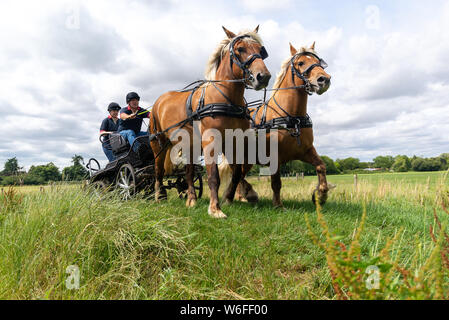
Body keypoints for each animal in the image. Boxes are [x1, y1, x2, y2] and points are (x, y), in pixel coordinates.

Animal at [150, 26, 270, 219]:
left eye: (261, 50)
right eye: (240, 49)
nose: (263, 76)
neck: (226, 99)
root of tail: (159, 101)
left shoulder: (234, 141)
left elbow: (236, 173)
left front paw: (228, 199)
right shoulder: (211, 141)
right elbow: (213, 176)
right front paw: (215, 209)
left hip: (190, 145)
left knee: (189, 173)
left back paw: (191, 199)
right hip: (158, 143)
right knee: (158, 170)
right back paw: (159, 195)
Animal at [220, 42, 332, 208]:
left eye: (319, 62)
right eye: (301, 63)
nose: (324, 79)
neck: (293, 119)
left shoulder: (306, 150)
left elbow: (321, 166)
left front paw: (321, 195)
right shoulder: (275, 156)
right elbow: (276, 182)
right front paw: (278, 205)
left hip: (248, 160)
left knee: (240, 174)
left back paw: (242, 196)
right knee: (237, 174)